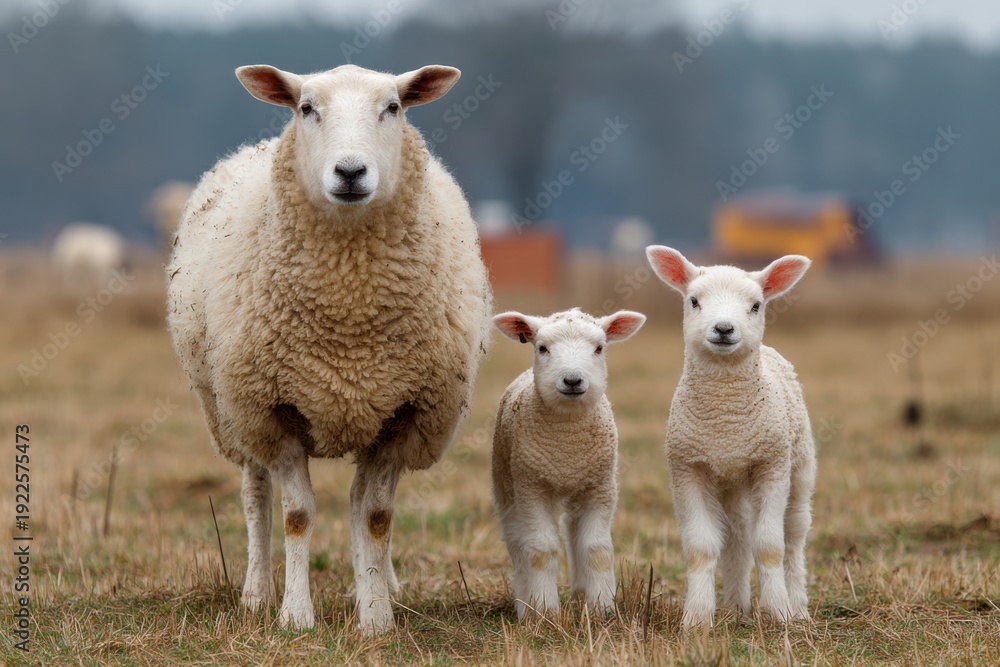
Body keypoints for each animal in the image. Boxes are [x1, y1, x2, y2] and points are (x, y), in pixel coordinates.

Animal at [166, 62, 492, 634]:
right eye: (306, 108)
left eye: (393, 107)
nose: (351, 171)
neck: (348, 305)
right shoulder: (273, 410)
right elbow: (297, 516)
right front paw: (295, 616)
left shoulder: (403, 412)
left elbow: (375, 517)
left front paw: (376, 617)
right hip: (232, 410)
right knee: (256, 497)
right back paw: (256, 593)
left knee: (363, 504)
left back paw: (382, 584)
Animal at [491, 307, 646, 618]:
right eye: (542, 348)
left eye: (599, 348)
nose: (573, 381)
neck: (567, 446)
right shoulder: (532, 487)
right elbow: (542, 550)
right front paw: (545, 611)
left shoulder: (600, 487)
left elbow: (596, 550)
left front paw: (601, 609)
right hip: (505, 481)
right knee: (516, 541)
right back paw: (525, 605)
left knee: (574, 535)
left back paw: (580, 594)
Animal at [645, 245, 816, 629]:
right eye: (693, 300)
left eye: (756, 305)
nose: (724, 328)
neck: (726, 424)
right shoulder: (688, 469)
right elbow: (701, 548)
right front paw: (696, 619)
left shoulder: (772, 465)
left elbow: (769, 545)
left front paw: (779, 613)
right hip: (731, 483)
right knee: (737, 537)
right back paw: (738, 608)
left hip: (799, 466)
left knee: (795, 534)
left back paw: (798, 606)